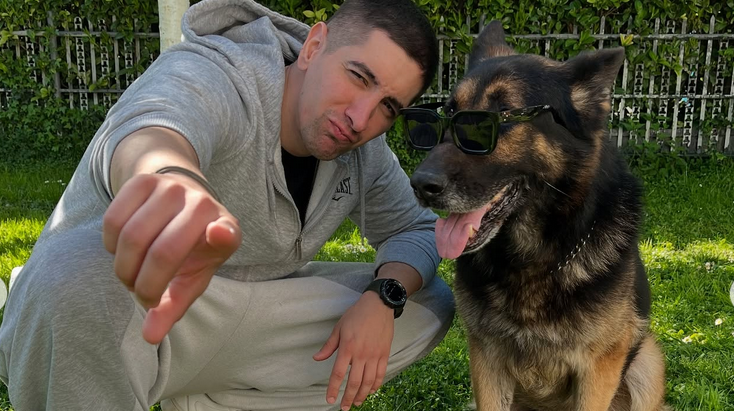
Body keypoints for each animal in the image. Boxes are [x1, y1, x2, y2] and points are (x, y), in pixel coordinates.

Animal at [407, 21, 668, 411]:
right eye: (448, 115)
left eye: (498, 119)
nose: (420, 185)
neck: (532, 262)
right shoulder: (486, 359)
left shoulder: (599, 368)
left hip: (647, 361)